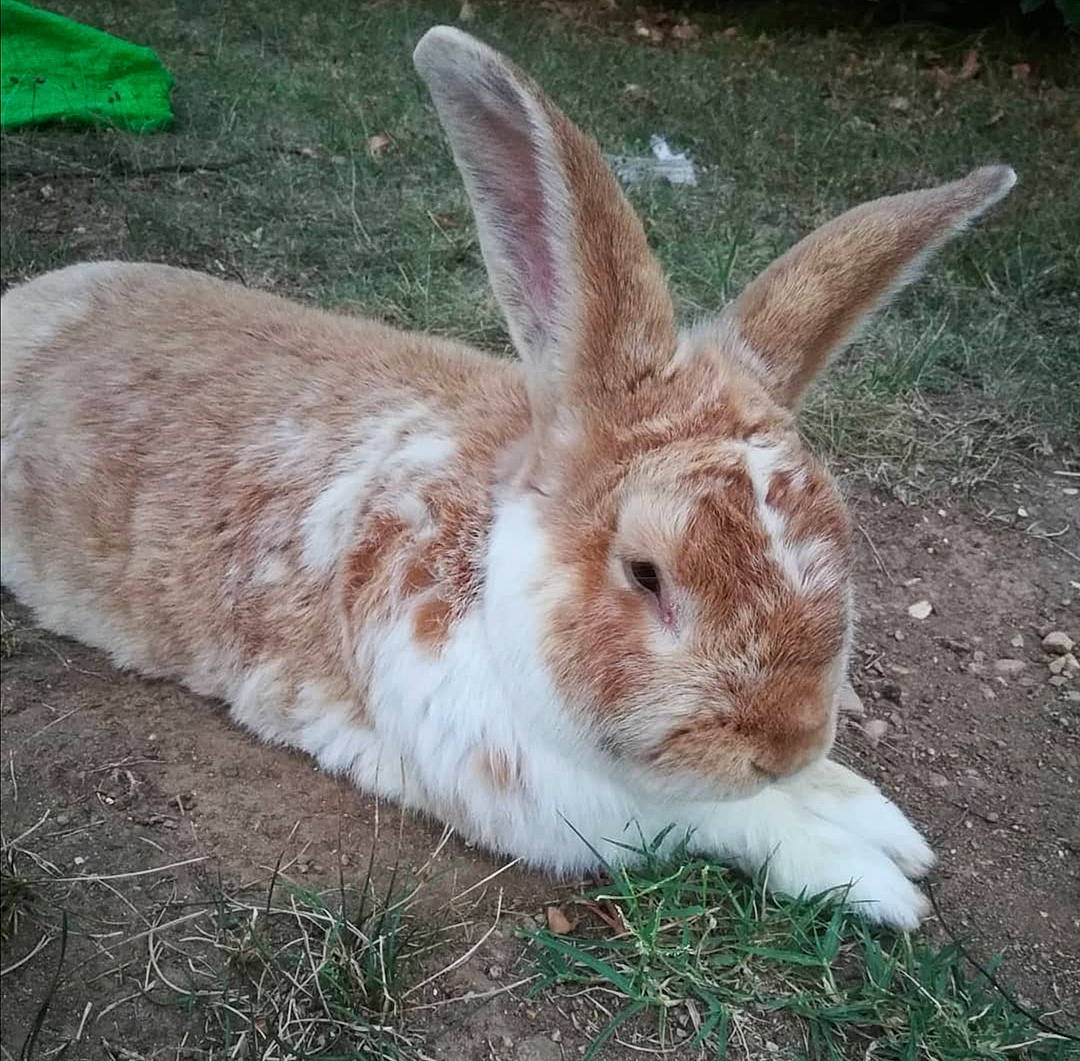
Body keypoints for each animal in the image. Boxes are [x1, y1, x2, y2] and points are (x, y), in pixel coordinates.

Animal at [0, 26, 1015, 930]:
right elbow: (725, 816)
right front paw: (878, 878)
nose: (783, 742)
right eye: (646, 573)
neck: (488, 572)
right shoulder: (570, 797)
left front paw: (874, 813)